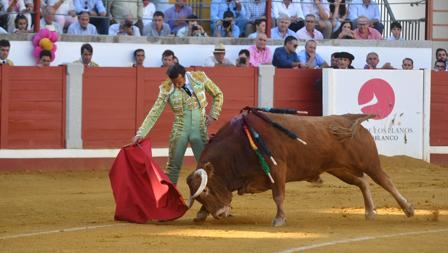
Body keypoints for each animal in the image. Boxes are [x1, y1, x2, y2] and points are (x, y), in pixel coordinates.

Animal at [185, 111, 412, 226]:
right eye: (199, 196)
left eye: (207, 190)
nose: (220, 214)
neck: (239, 143)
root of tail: (350, 119)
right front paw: (201, 215)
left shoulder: (277, 170)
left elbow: (278, 196)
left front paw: (279, 219)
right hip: (338, 168)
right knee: (362, 181)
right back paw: (369, 212)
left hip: (369, 162)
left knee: (385, 180)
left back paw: (407, 208)